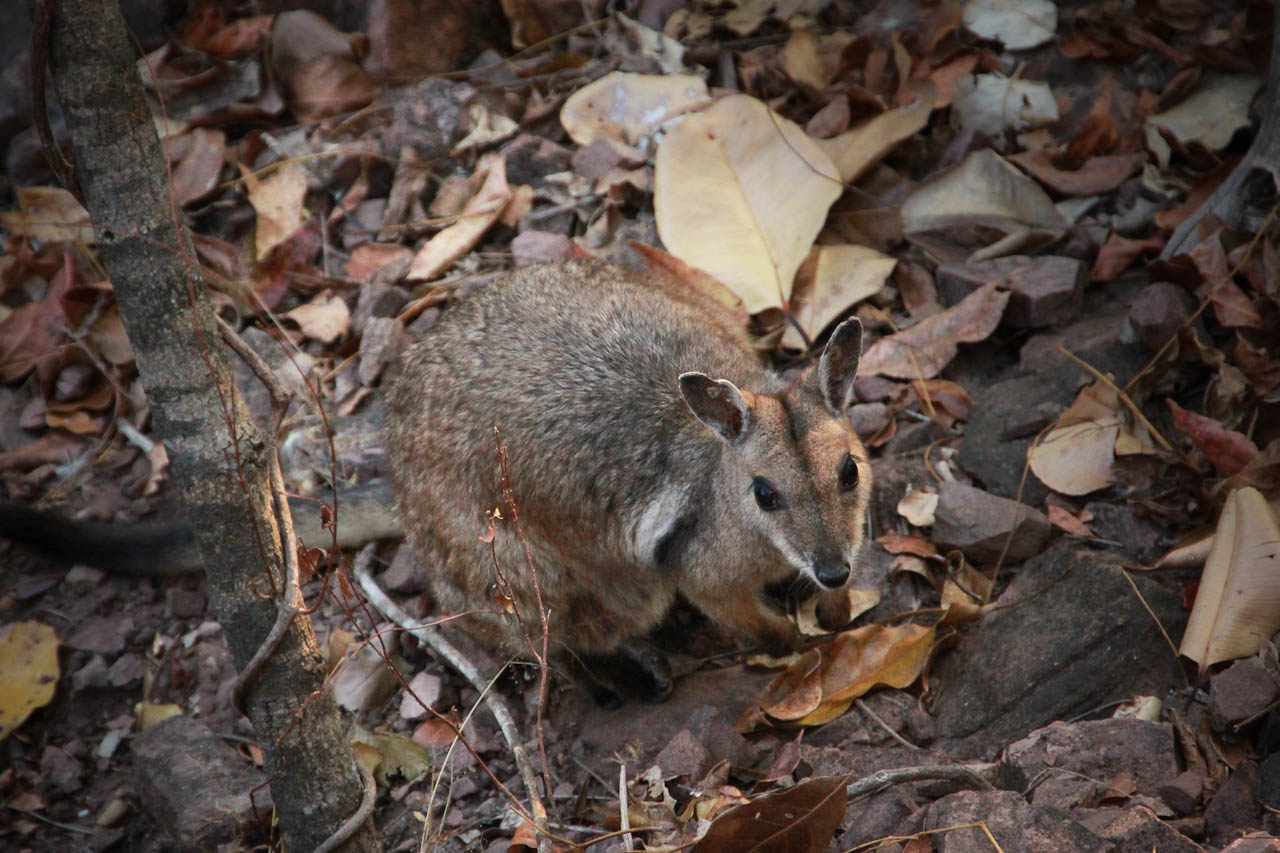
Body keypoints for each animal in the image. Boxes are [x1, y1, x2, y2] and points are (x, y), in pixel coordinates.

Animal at [383, 259, 873, 703]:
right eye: (765, 495)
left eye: (850, 472)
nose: (832, 572)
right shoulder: (699, 570)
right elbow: (749, 621)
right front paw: (792, 641)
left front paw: (836, 610)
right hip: (510, 571)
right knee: (550, 644)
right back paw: (623, 679)